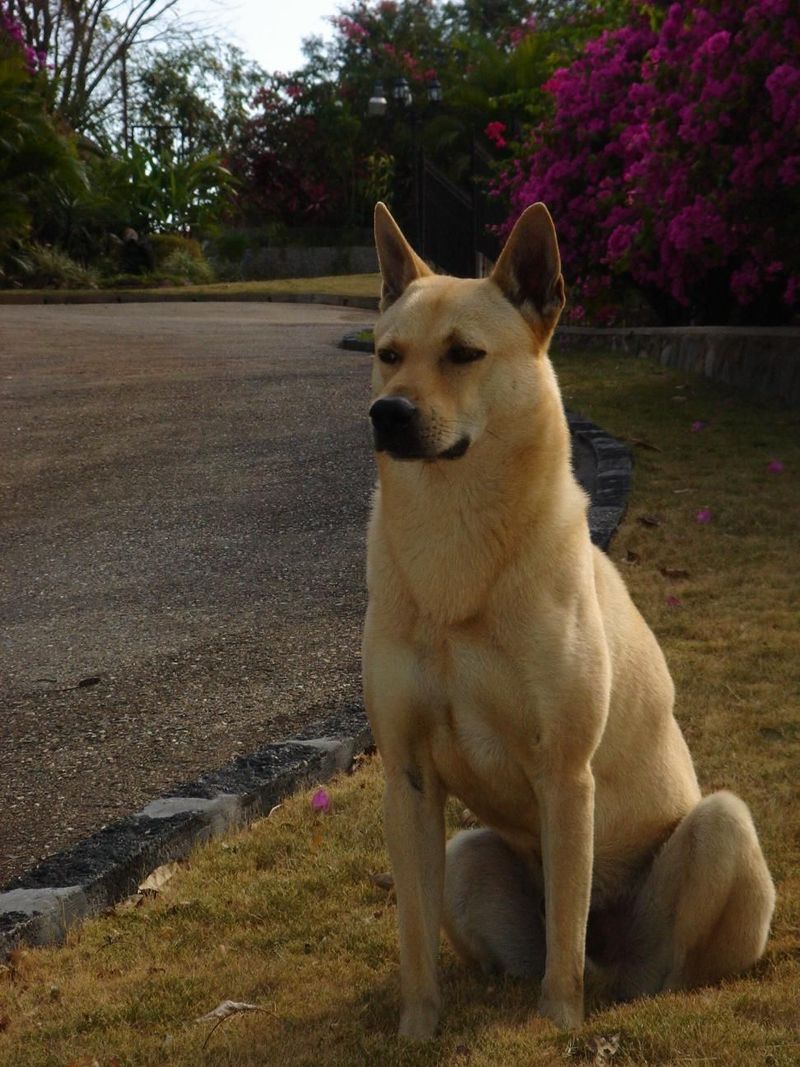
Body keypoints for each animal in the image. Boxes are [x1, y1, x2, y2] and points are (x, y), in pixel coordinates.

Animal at [362, 196, 776, 1037]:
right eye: (388, 353)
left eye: (463, 355)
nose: (387, 413)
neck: (454, 540)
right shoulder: (407, 776)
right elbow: (415, 934)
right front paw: (417, 1027)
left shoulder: (563, 771)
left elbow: (565, 935)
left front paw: (559, 1022)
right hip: (468, 856)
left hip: (719, 829)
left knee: (645, 961)